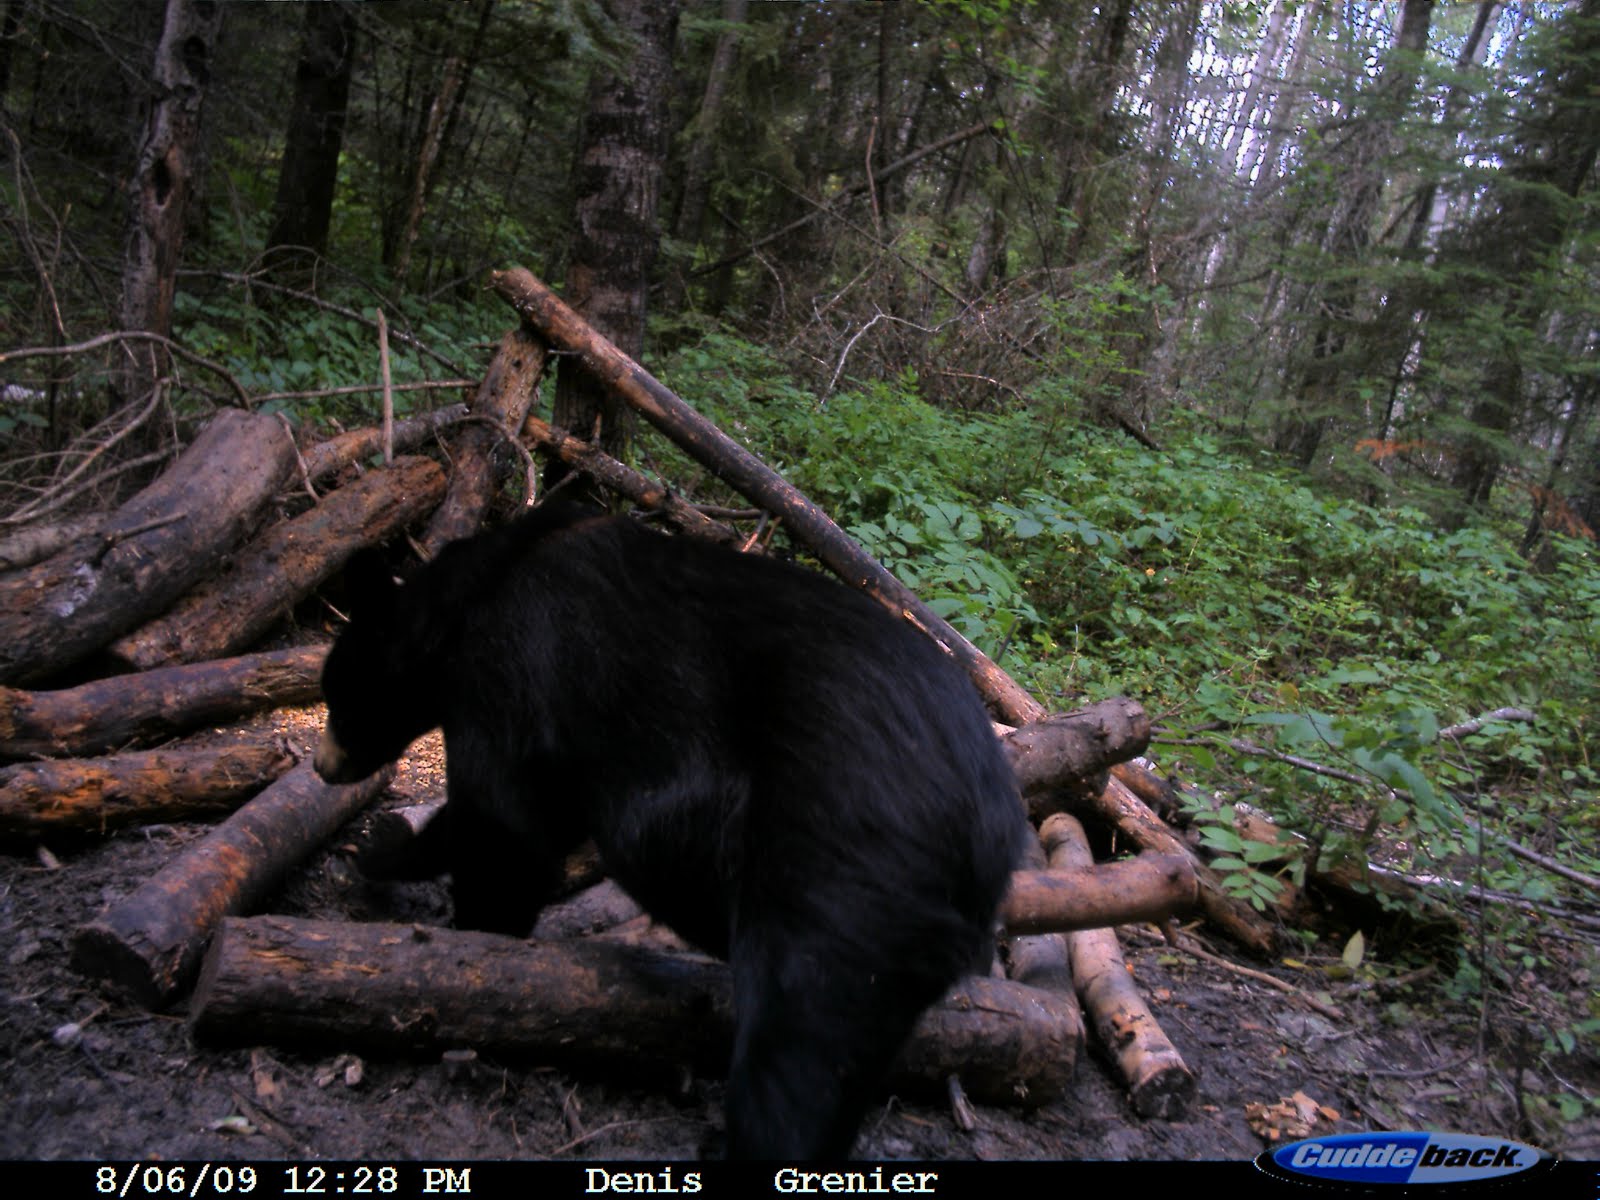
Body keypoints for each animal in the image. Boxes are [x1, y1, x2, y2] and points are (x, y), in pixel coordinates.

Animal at [314, 501, 1027, 1160]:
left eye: (336, 695)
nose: (322, 767)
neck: (472, 602)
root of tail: (992, 832)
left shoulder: (513, 670)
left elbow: (502, 824)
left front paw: (442, 914)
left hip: (848, 858)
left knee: (804, 1033)